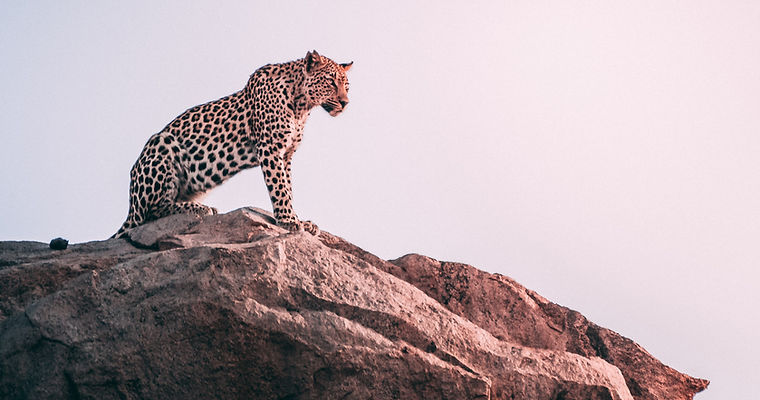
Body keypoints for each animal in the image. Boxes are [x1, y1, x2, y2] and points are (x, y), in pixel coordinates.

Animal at [111, 50, 352, 239]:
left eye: (347, 86)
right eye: (331, 82)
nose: (345, 103)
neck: (302, 105)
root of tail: (131, 207)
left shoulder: (286, 155)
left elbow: (288, 187)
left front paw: (299, 219)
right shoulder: (270, 148)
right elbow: (280, 187)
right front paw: (288, 221)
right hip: (162, 144)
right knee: (151, 212)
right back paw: (199, 208)